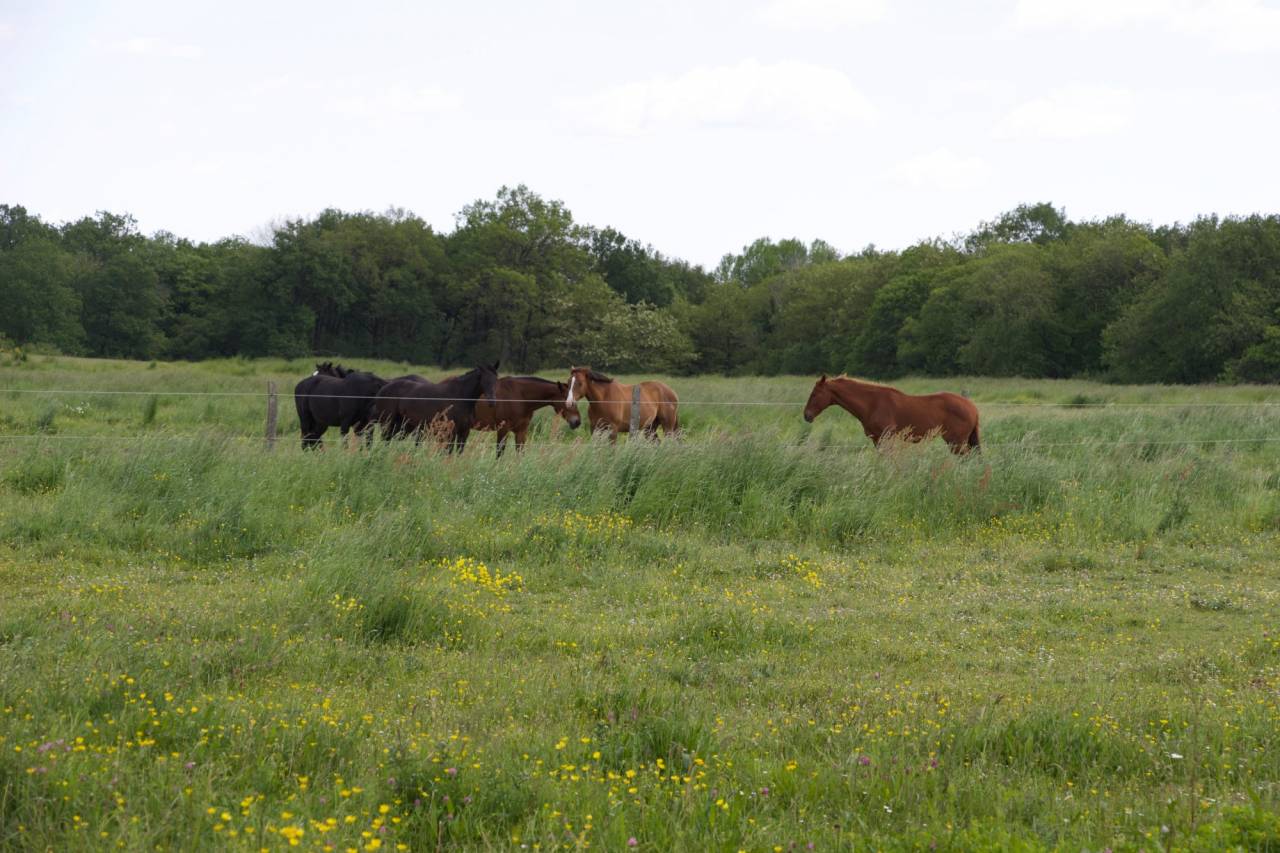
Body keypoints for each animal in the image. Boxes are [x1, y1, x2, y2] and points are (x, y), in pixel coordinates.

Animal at [802, 374, 980, 454]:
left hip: (956, 442)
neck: (872, 403)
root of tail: (971, 406)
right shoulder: (876, 439)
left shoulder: (886, 438)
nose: (806, 415)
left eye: (815, 394)